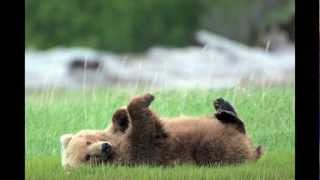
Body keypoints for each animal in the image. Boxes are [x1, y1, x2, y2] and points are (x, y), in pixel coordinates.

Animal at [60, 93, 262, 169]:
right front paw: (146, 98)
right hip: (218, 149)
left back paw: (224, 108)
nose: (104, 147)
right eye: (87, 157)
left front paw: (122, 114)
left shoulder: (119, 135)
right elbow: (145, 130)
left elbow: (122, 119)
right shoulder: (139, 151)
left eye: (88, 141)